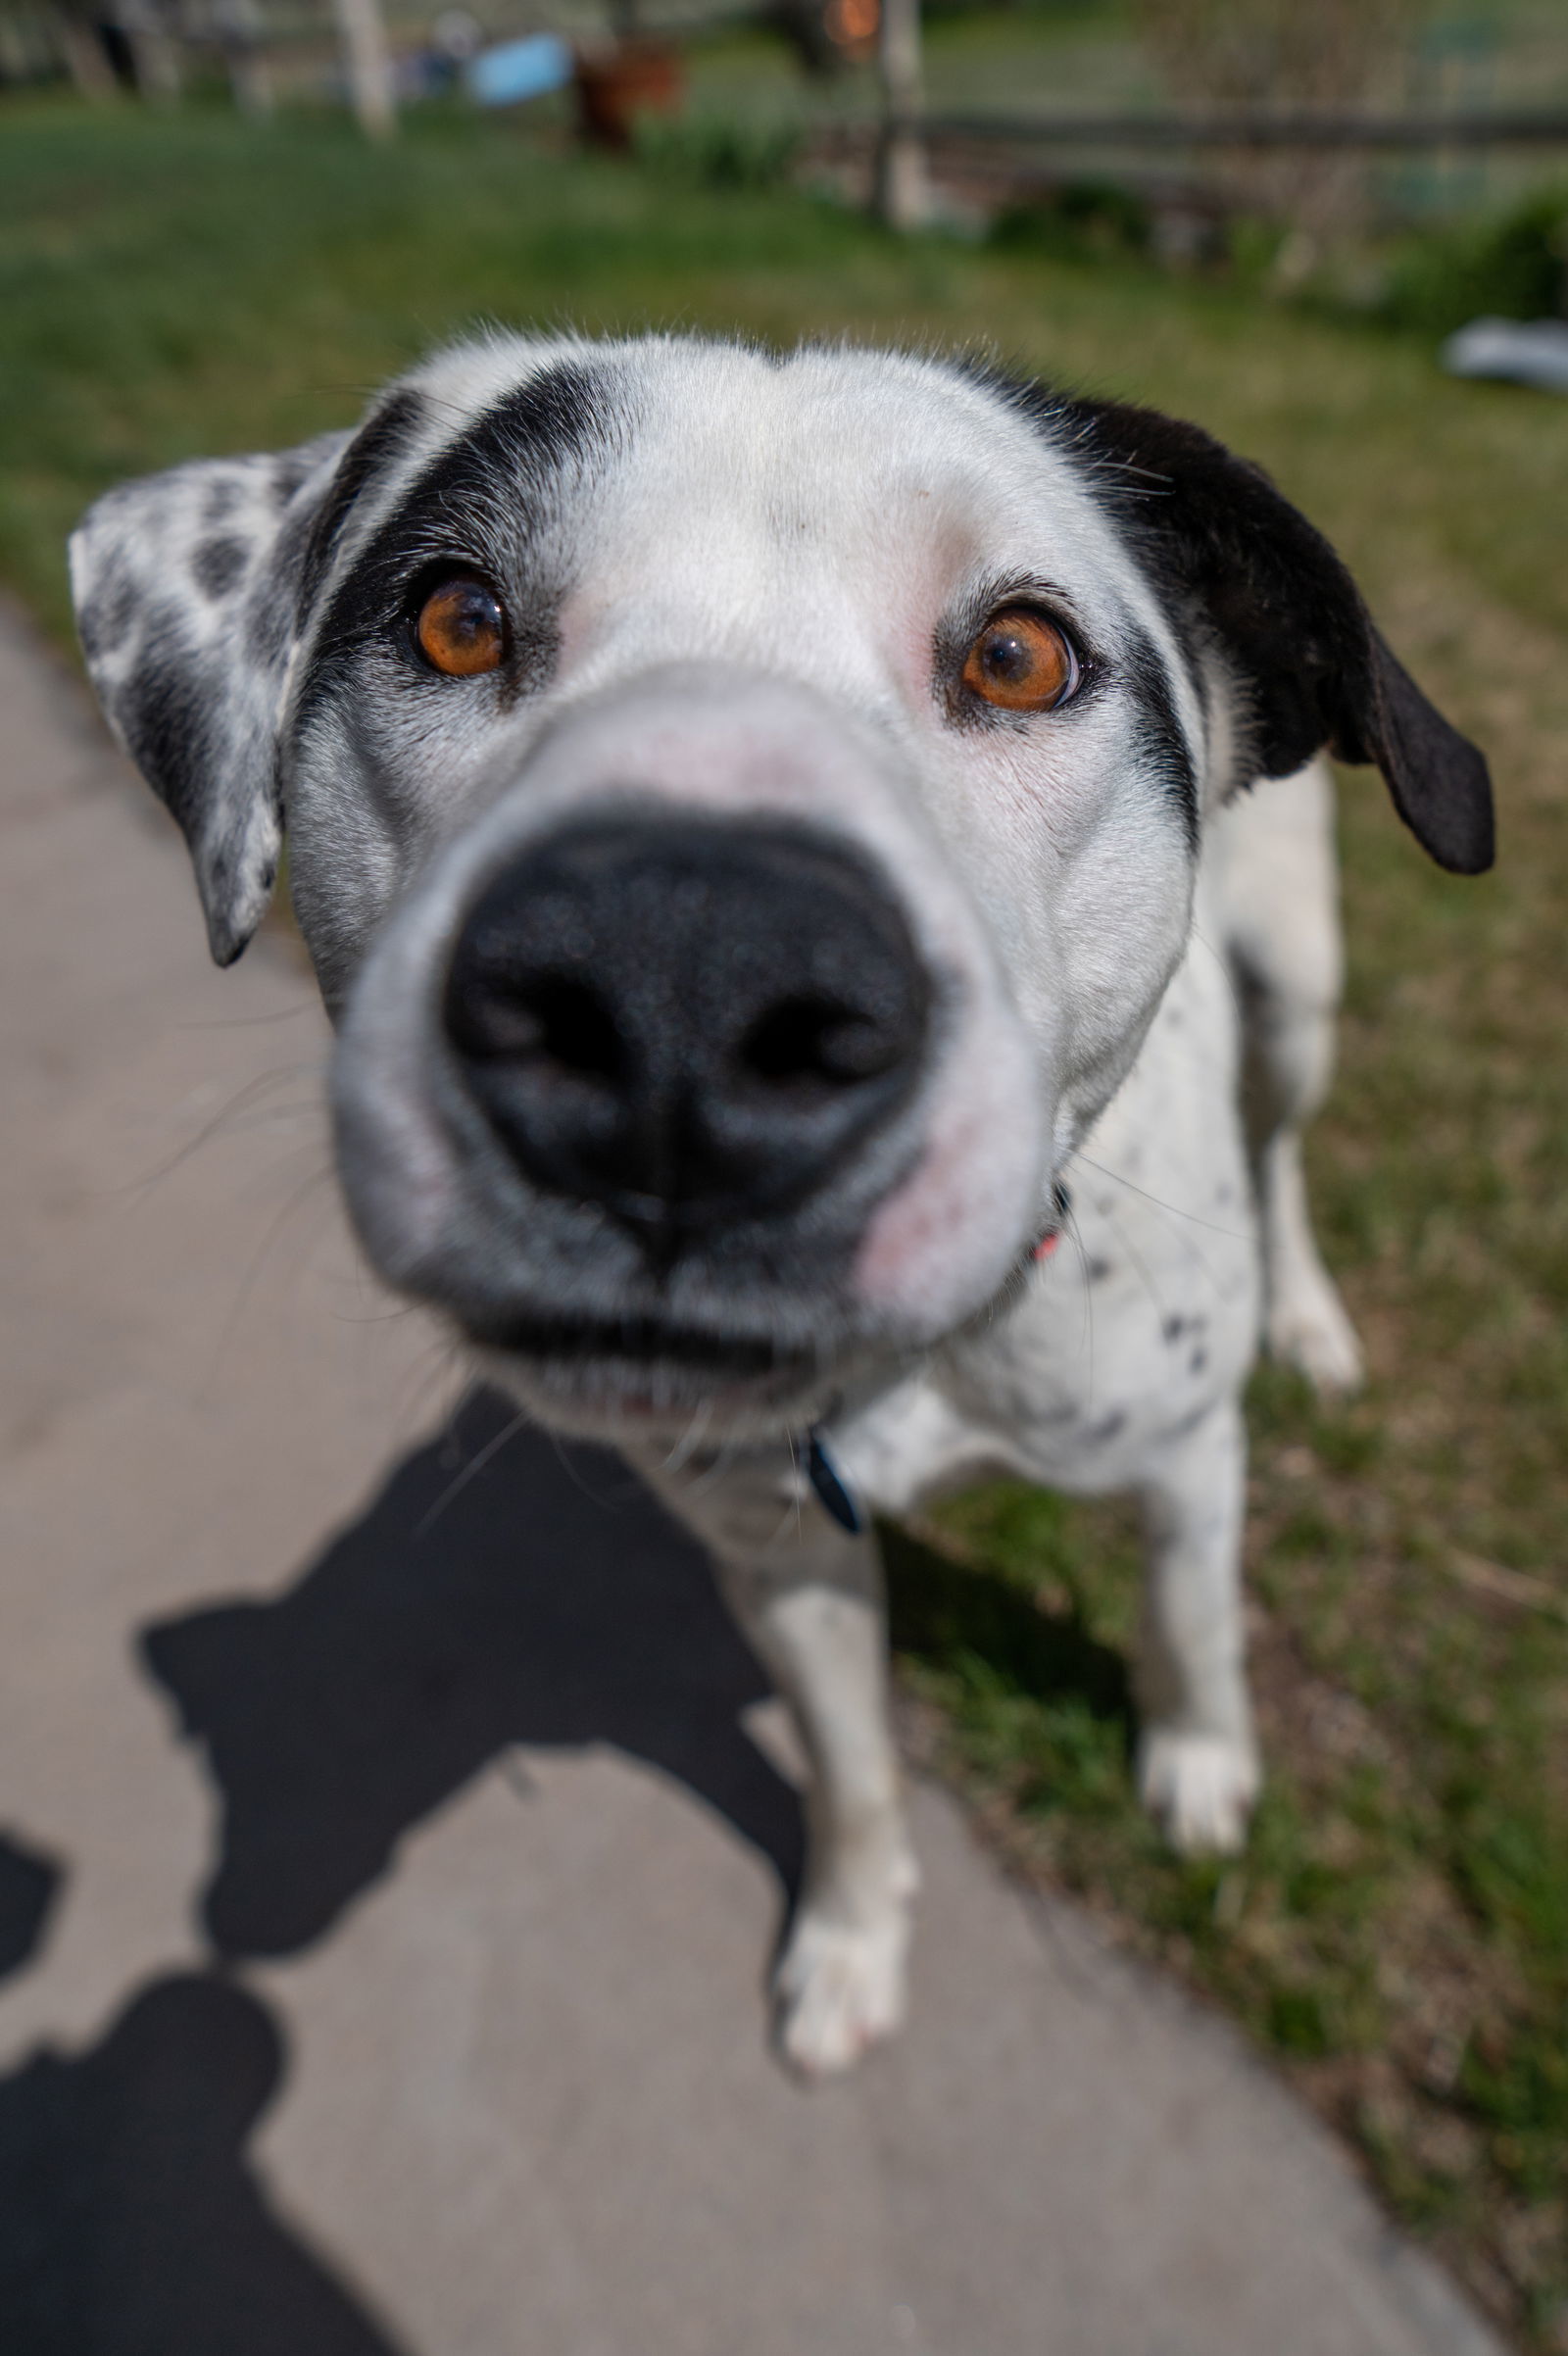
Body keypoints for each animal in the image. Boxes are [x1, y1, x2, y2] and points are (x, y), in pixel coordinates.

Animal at [73, 327, 1488, 2063]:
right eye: (455, 618)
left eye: (1020, 656)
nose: (681, 979)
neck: (927, 1369)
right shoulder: (779, 1559)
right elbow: (853, 1766)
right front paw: (854, 1941)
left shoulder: (1182, 1460)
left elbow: (1194, 1625)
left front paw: (1204, 1762)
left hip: (1297, 989)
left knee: (1284, 1147)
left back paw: (1312, 1319)